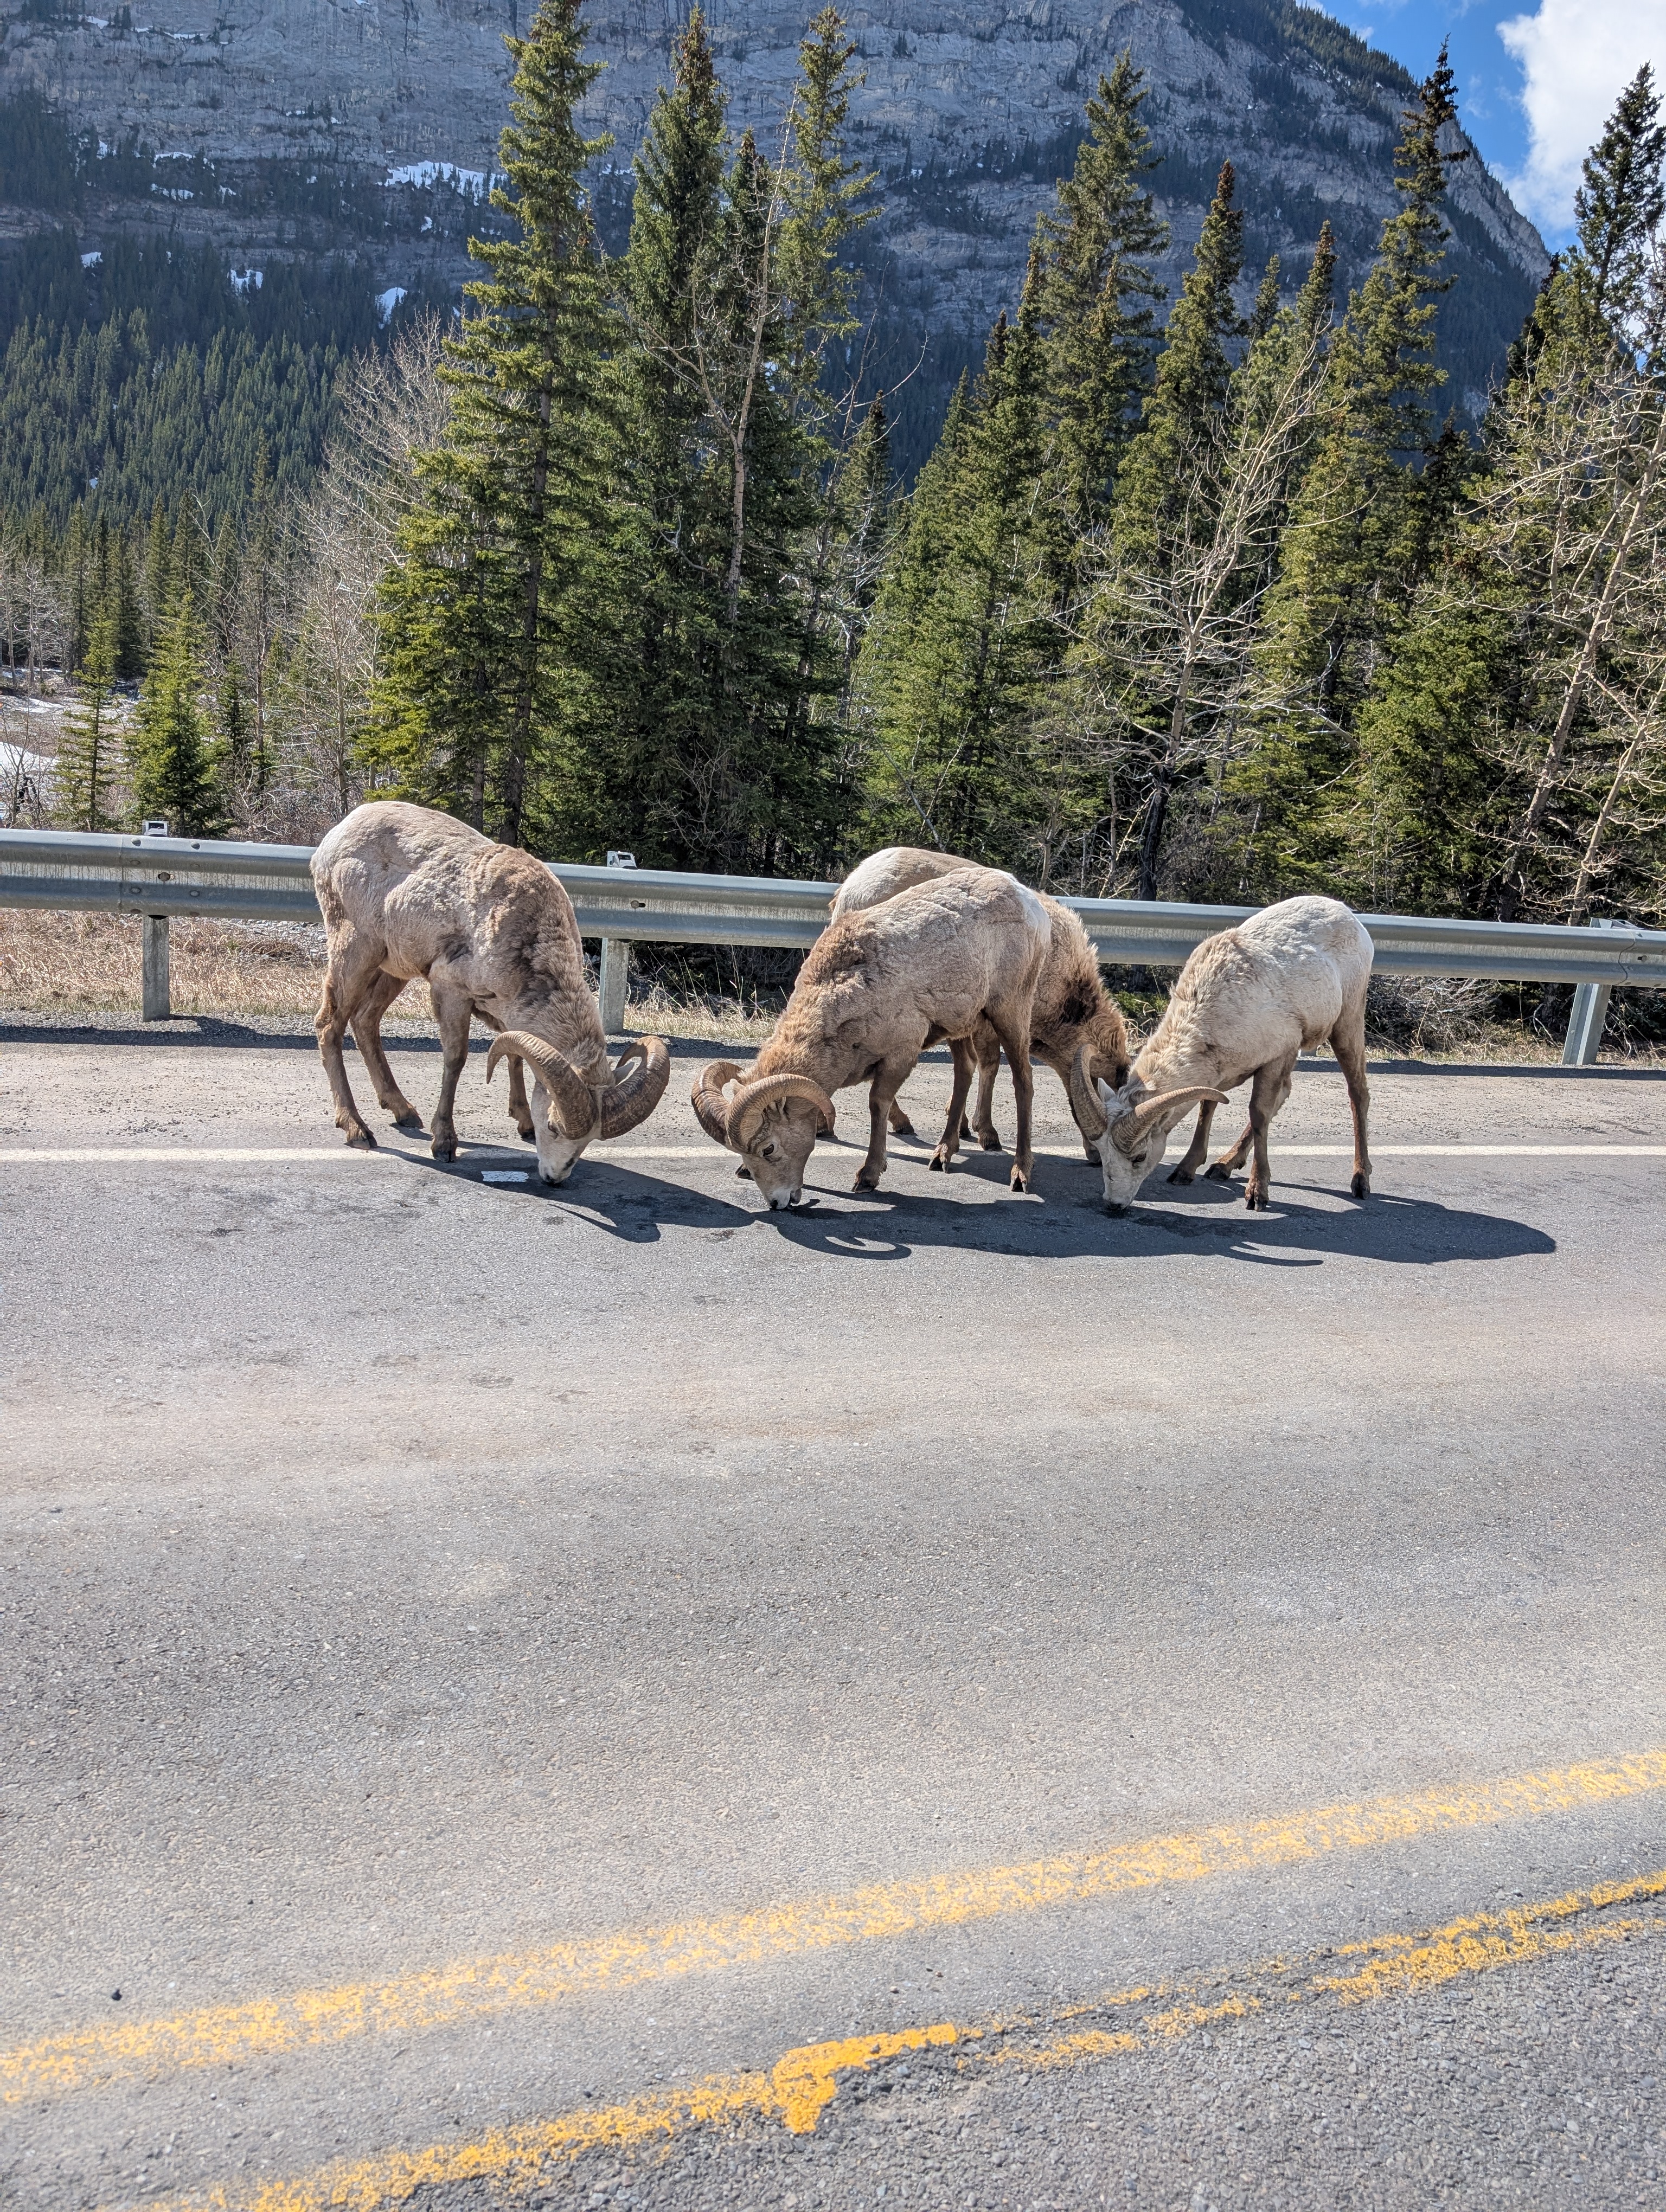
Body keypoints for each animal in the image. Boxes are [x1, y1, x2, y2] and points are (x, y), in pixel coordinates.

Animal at [311, 800, 670, 1182]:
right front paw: (445, 1144)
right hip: (355, 952)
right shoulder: (452, 991)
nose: (555, 1179)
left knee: (365, 1021)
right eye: (553, 1127)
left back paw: (404, 1112)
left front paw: (523, 1123)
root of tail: (332, 841)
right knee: (329, 1025)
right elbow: (455, 1060)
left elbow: (515, 1057)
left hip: (393, 969)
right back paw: (357, 1130)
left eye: (589, 1140)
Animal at [692, 865, 1052, 1207]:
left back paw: (1020, 1174)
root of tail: (1029, 901)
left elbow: (878, 1104)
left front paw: (867, 1177)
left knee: (1023, 1080)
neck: (848, 992)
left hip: (1010, 1012)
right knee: (964, 1071)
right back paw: (942, 1155)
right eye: (744, 1154)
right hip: (961, 1025)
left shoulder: (900, 1054)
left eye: (769, 1148)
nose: (779, 1202)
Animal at [831, 846, 1131, 1158]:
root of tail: (849, 888)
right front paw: (985, 1132)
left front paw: (964, 1126)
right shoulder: (990, 1018)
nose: (1097, 1155)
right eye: (1097, 1081)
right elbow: (989, 1064)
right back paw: (894, 1122)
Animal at [1070, 893, 1373, 1215]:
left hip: (1347, 1023)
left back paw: (1360, 1182)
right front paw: (1185, 1171)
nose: (1113, 1205)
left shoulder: (1279, 1056)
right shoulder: (1220, 1071)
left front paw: (1257, 1194)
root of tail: (1348, 915)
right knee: (1286, 1093)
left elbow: (1259, 1114)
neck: (1215, 1005)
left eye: (1139, 1157)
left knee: (1358, 1092)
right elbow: (1208, 1107)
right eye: (1102, 1152)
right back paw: (1223, 1166)